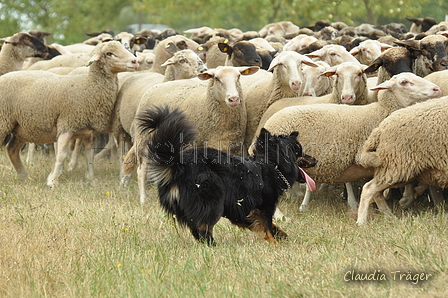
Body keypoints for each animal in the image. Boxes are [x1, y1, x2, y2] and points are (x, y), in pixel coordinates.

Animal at [0, 41, 138, 186]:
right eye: (109, 53)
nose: (135, 61)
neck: (89, 86)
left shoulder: (88, 132)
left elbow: (89, 155)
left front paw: (90, 178)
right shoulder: (66, 125)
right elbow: (61, 155)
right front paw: (52, 181)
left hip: (21, 128)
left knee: (12, 150)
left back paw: (24, 177)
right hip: (4, 122)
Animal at [121, 66, 260, 204]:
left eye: (238, 76)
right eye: (216, 78)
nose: (234, 99)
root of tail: (154, 87)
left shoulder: (231, 147)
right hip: (144, 139)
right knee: (142, 170)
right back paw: (143, 200)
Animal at [136, 106, 316, 246]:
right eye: (300, 152)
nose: (316, 160)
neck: (271, 165)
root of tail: (177, 164)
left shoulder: (242, 209)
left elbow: (270, 226)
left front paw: (282, 236)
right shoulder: (263, 207)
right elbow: (267, 227)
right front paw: (274, 244)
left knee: (197, 229)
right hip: (211, 201)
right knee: (203, 229)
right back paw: (213, 246)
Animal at [356, 95, 448, 224]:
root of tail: (380, 128)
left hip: (403, 169)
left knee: (377, 192)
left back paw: (390, 216)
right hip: (396, 165)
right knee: (368, 188)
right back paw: (362, 222)